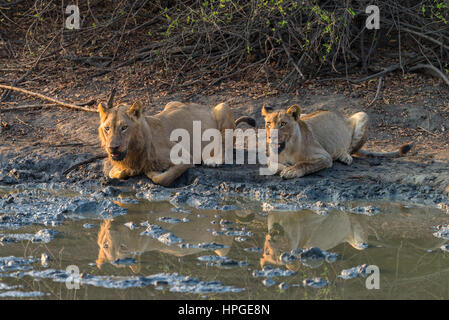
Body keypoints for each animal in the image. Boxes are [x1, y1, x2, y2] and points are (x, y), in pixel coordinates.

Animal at [97, 99, 254, 186]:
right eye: (107, 128)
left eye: (124, 127)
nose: (112, 148)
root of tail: (205, 106)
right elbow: (112, 173)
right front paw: (128, 170)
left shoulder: (185, 157)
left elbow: (164, 178)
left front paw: (152, 172)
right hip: (171, 103)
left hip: (223, 107)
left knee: (227, 147)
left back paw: (213, 160)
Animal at [260, 105, 412, 179]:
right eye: (268, 123)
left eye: (283, 124)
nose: (271, 137)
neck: (286, 148)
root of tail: (342, 115)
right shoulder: (272, 159)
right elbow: (272, 165)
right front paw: (285, 167)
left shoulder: (324, 157)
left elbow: (304, 164)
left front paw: (291, 170)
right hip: (304, 114)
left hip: (363, 115)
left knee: (350, 149)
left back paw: (345, 157)